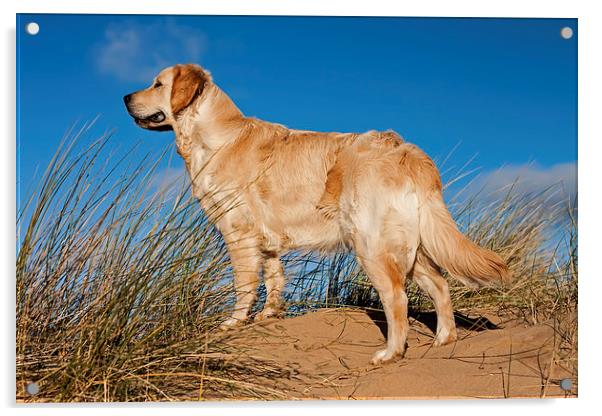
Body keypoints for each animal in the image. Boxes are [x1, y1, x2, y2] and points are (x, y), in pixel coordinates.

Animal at [124, 62, 508, 364]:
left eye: (157, 84)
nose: (126, 97)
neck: (214, 136)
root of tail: (406, 151)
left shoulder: (239, 233)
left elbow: (244, 285)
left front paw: (233, 324)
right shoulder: (267, 240)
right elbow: (274, 279)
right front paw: (268, 316)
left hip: (370, 244)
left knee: (396, 298)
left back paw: (390, 353)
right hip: (408, 246)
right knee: (440, 284)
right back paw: (444, 339)